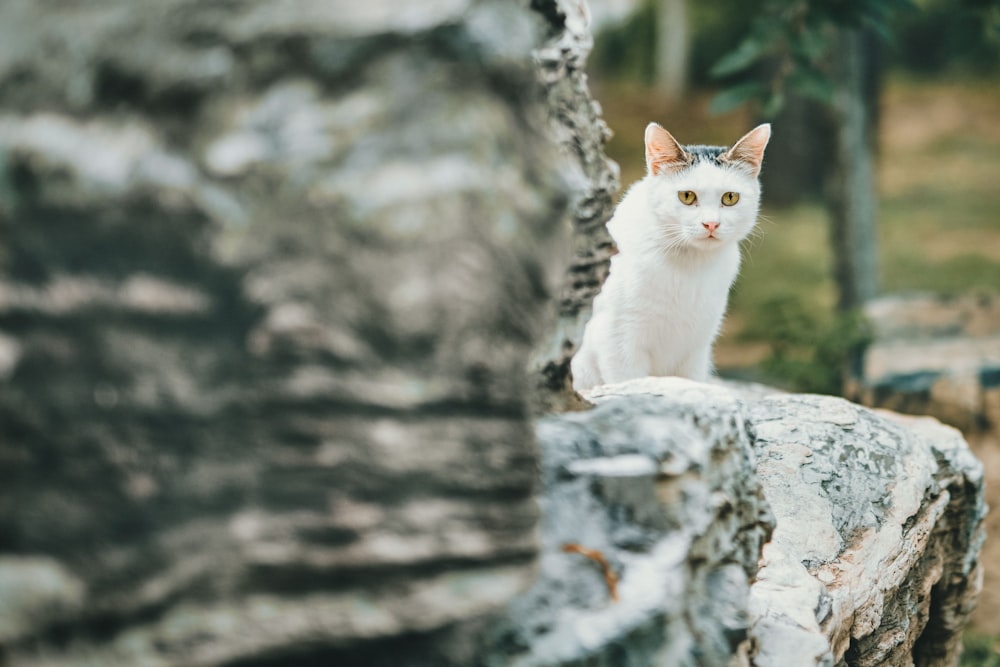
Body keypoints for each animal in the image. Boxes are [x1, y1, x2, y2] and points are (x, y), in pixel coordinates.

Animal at [572, 122, 772, 392]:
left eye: (730, 198)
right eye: (687, 196)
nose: (711, 224)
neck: (689, 264)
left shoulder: (697, 349)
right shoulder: (618, 341)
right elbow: (629, 382)